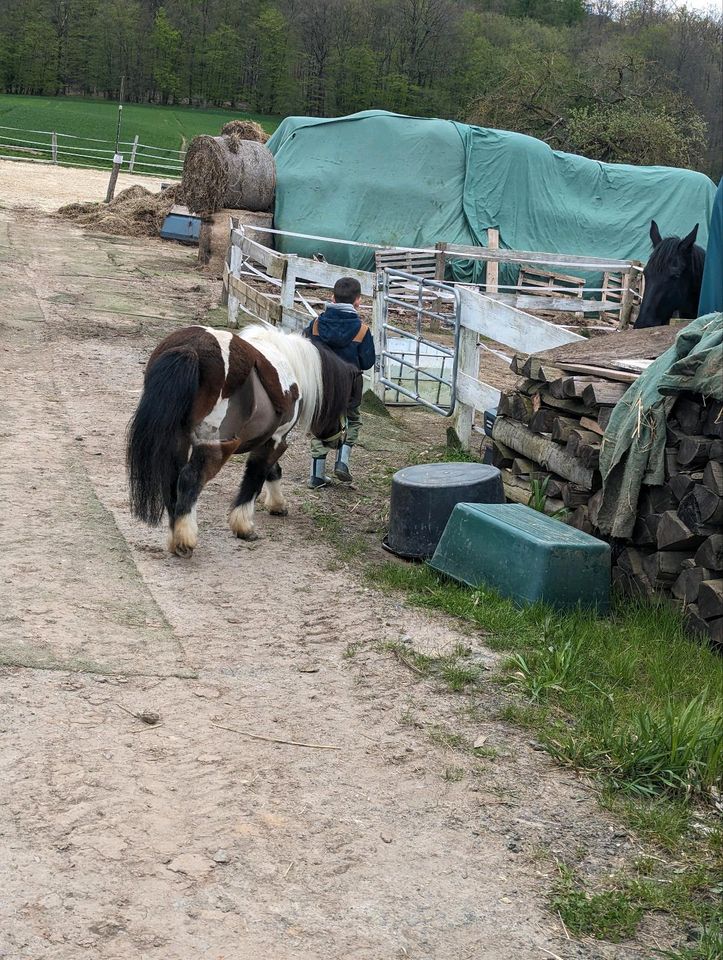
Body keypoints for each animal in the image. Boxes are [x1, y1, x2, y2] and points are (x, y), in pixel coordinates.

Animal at [128, 324, 362, 556]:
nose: (339, 440)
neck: (290, 363)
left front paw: (277, 505)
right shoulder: (276, 440)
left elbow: (272, 471)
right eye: (347, 403)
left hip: (179, 438)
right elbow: (256, 477)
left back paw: (174, 535)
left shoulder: (266, 439)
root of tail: (190, 349)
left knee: (171, 478)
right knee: (190, 478)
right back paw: (185, 538)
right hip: (217, 445)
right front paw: (244, 526)